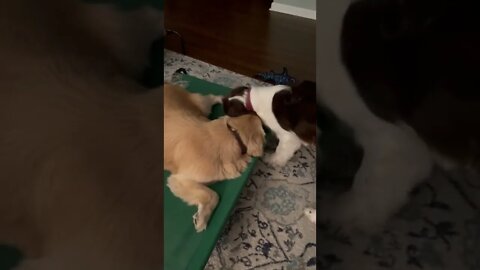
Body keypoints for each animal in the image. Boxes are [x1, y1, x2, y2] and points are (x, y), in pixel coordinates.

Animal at [163, 83, 264, 231]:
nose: (256, 113)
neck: (233, 134)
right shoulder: (179, 179)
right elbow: (213, 195)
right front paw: (202, 219)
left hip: (202, 106)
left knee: (212, 97)